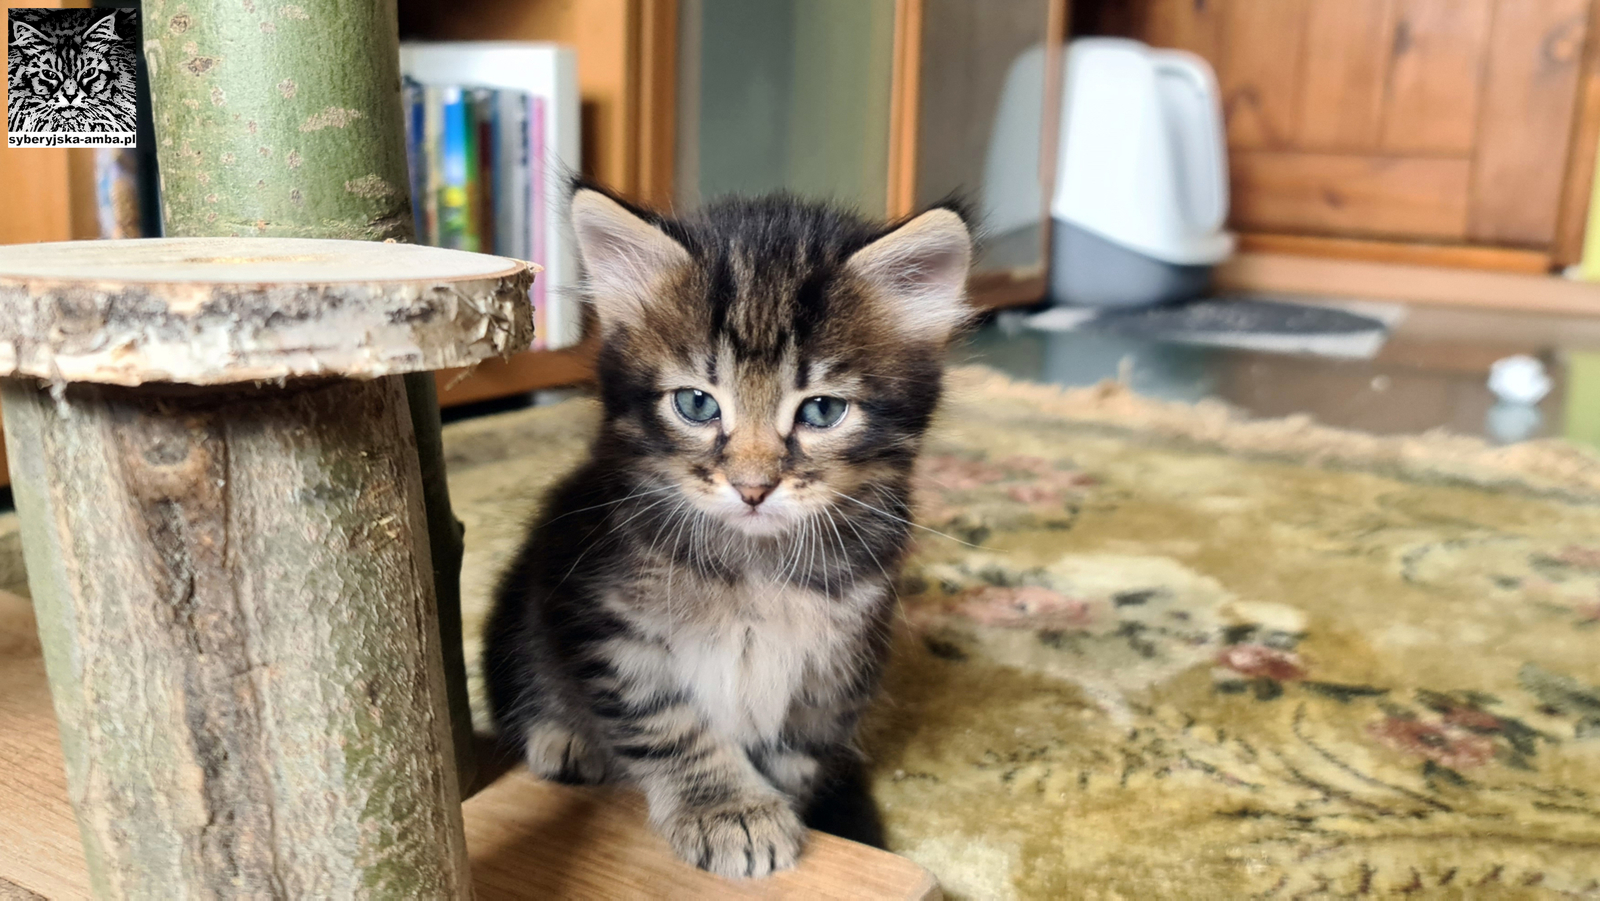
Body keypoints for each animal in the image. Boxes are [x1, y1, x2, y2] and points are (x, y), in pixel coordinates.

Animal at [483, 184, 972, 878]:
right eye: (696, 404)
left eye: (823, 410)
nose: (753, 486)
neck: (754, 562)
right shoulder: (605, 617)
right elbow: (664, 721)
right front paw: (726, 808)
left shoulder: (842, 653)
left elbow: (799, 747)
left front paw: (791, 806)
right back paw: (566, 738)